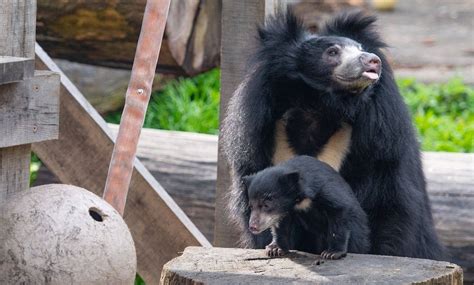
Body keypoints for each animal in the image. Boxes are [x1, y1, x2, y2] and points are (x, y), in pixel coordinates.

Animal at [222, 10, 444, 258]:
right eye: (332, 52)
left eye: (359, 47)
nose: (372, 60)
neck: (320, 107)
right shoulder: (258, 132)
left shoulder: (381, 136)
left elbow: (386, 204)